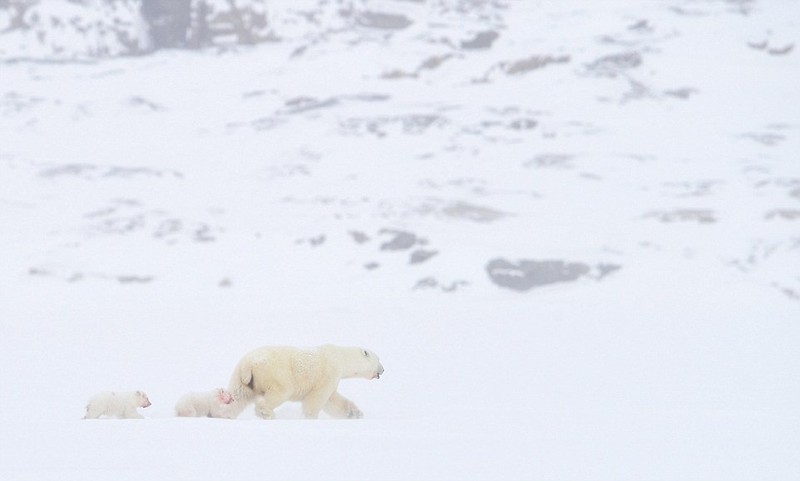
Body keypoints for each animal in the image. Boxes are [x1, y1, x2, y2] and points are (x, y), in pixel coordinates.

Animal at [227, 344, 386, 418]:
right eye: (379, 359)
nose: (383, 369)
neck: (341, 357)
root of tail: (249, 364)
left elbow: (332, 401)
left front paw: (354, 413)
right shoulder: (329, 373)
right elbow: (318, 398)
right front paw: (310, 417)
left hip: (242, 378)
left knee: (237, 397)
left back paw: (225, 413)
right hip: (275, 372)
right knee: (282, 391)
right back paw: (266, 413)